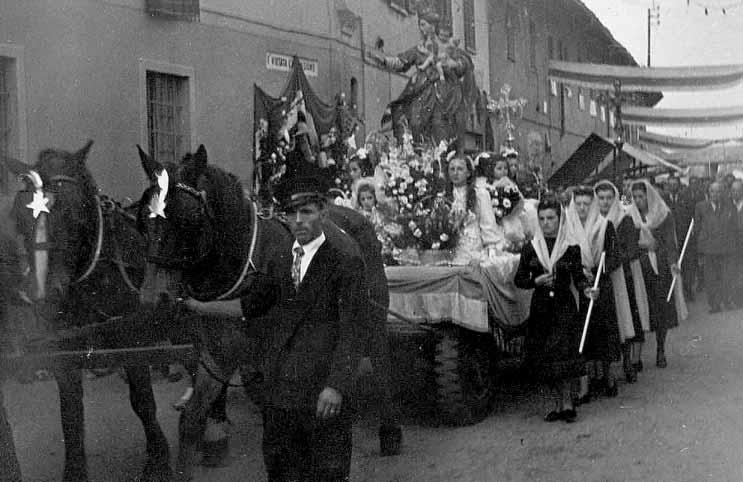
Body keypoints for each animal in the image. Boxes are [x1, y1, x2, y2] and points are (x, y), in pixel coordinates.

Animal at [4, 143, 173, 482]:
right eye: (19, 216)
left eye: (72, 211)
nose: (42, 293)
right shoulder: (63, 349)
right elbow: (70, 414)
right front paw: (75, 470)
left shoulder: (130, 336)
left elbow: (142, 399)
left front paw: (159, 459)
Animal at [134, 145, 402, 480]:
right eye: (142, 220)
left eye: (189, 218)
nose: (152, 300)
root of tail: (356, 218)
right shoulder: (217, 357)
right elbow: (192, 421)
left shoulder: (268, 359)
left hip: (370, 317)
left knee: (380, 364)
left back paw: (390, 431)